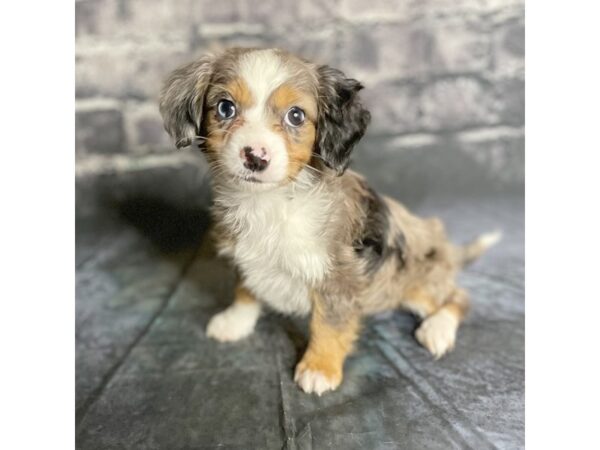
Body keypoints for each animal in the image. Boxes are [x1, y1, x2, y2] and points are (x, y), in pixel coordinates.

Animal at [157, 47, 500, 396]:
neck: (271, 202)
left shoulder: (338, 278)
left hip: (416, 282)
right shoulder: (246, 257)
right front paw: (235, 321)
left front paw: (319, 367)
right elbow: (245, 290)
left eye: (296, 116)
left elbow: (328, 324)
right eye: (225, 108)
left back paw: (437, 330)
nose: (255, 157)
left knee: (459, 297)